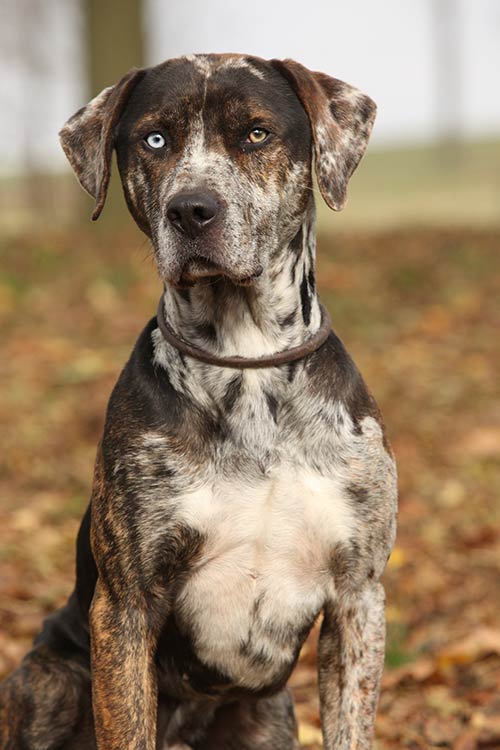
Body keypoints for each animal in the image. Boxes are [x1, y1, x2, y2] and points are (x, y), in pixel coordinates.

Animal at [0, 54, 398, 750]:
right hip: (47, 680)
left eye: (257, 134)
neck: (248, 364)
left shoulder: (359, 596)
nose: (192, 209)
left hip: (271, 715)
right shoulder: (127, 607)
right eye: (155, 139)